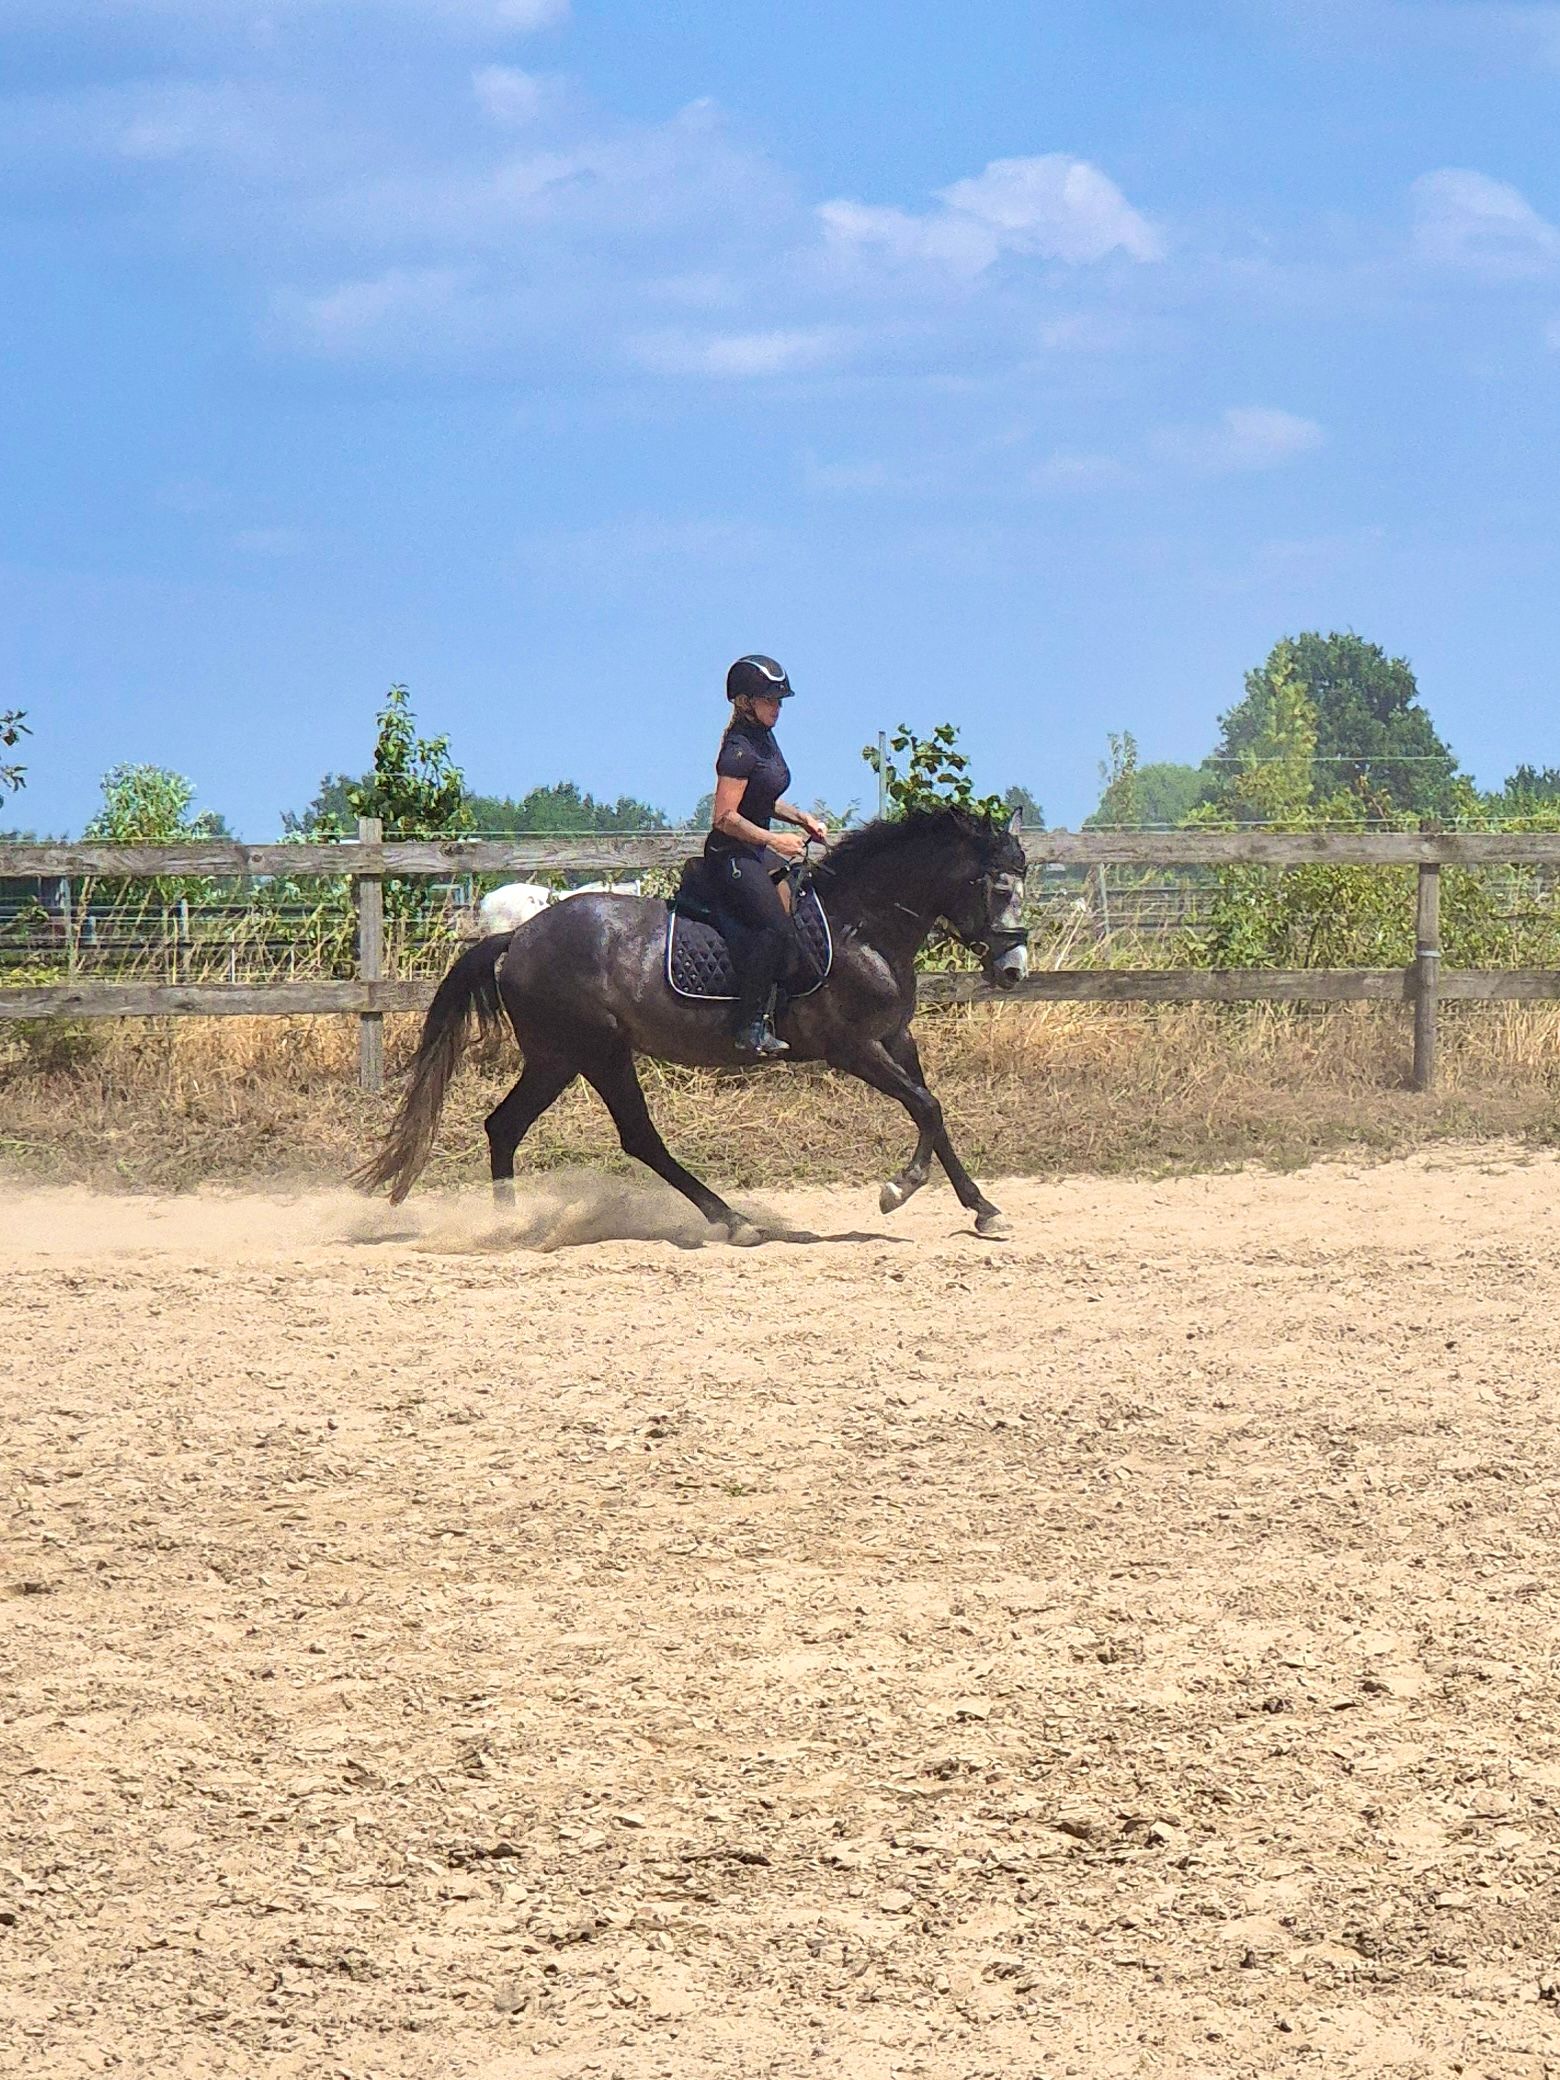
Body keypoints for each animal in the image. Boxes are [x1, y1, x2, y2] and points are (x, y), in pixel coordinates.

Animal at [358, 806, 1029, 1240]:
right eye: (999, 889)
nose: (1014, 969)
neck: (860, 925)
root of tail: (515, 938)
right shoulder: (852, 1046)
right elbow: (925, 1107)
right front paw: (898, 1189)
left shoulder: (896, 1037)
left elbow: (933, 1112)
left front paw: (984, 1209)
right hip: (592, 1052)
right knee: (635, 1136)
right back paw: (731, 1221)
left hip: (561, 1057)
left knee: (508, 1126)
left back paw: (512, 1222)